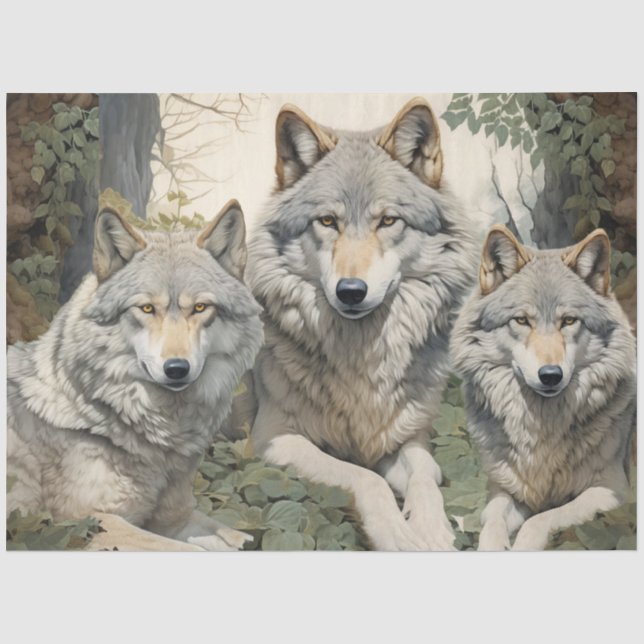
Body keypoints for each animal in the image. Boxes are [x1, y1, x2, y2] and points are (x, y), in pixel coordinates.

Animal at [7, 200, 263, 551]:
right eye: (146, 309)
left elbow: (236, 537)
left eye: (200, 308)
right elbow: (185, 550)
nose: (176, 368)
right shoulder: (88, 523)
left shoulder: (176, 518)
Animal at [245, 98, 478, 550]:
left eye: (387, 221)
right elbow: (364, 478)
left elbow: (427, 477)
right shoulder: (272, 439)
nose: (351, 291)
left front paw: (432, 530)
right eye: (327, 221)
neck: (361, 358)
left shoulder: (407, 437)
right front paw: (398, 535)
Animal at [450, 225, 636, 550]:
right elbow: (492, 520)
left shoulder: (612, 490)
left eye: (569, 320)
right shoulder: (504, 489)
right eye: (522, 320)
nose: (550, 375)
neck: (542, 428)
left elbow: (542, 519)